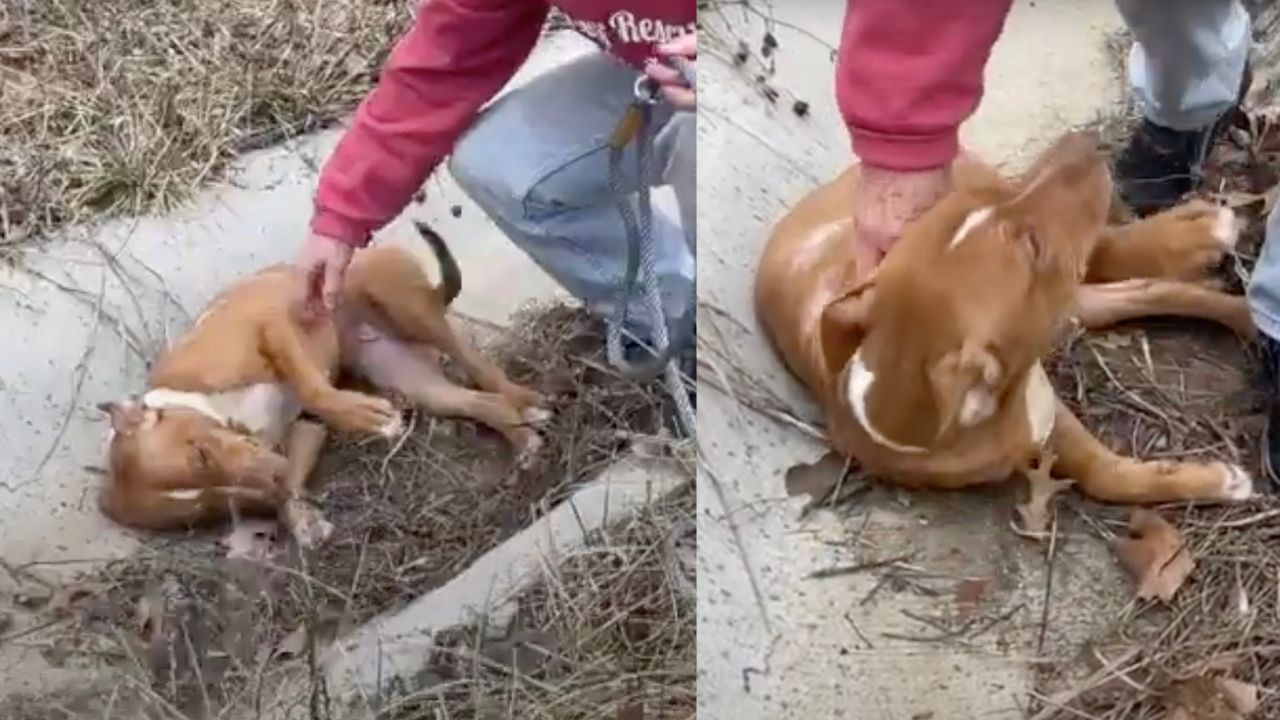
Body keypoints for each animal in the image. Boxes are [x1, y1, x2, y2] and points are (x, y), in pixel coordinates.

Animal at [94, 224, 545, 543]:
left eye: (201, 454)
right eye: (216, 507)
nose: (272, 475)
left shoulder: (270, 326)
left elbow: (313, 388)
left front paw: (363, 417)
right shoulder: (305, 432)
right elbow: (292, 478)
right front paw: (301, 520)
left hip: (408, 306)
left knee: (478, 365)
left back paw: (527, 400)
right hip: (419, 383)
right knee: (484, 404)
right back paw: (524, 440)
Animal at [752, 133, 1254, 504]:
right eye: (1032, 246)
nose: (1082, 144)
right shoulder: (1040, 412)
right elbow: (1104, 475)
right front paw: (1212, 481)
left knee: (1111, 251)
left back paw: (1199, 239)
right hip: (1067, 303)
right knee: (1133, 286)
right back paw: (1235, 300)